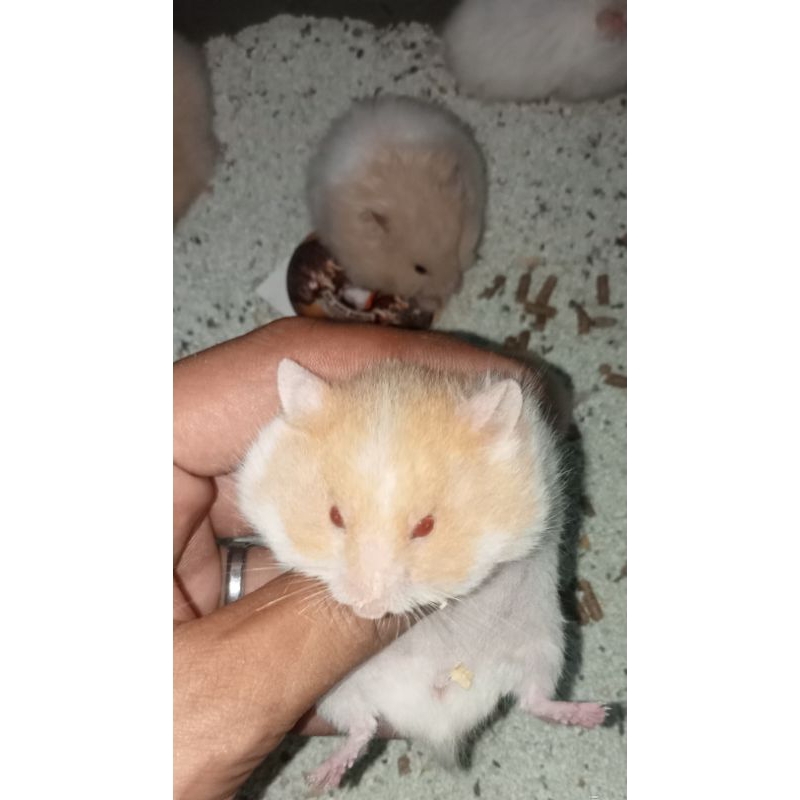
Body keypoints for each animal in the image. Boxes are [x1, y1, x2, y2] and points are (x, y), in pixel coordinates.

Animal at [238, 359, 606, 792]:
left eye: (426, 526)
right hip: (336, 693)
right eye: (335, 516)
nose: (367, 610)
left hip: (545, 645)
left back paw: (597, 714)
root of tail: (439, 724)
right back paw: (323, 778)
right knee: (362, 728)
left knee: (536, 700)